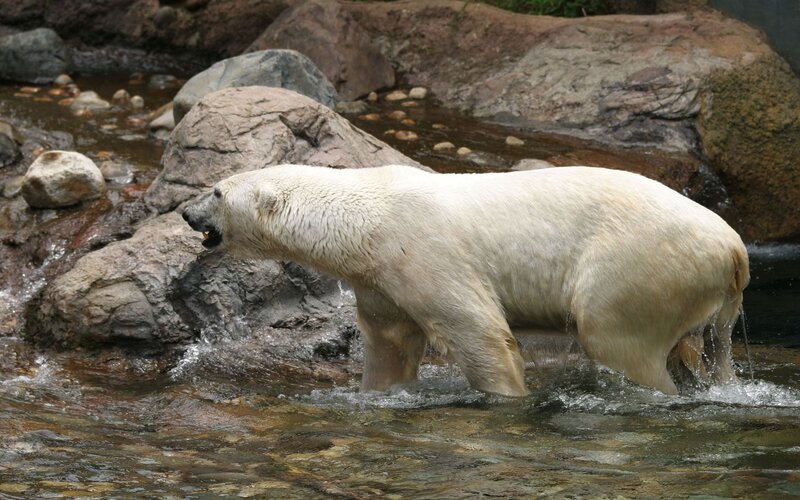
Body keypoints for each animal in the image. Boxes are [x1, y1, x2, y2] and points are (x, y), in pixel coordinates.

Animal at [182, 164, 749, 397]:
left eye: (216, 191)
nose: (186, 213)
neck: (367, 215)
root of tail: (735, 248)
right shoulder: (379, 280)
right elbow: (390, 343)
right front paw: (377, 392)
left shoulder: (424, 250)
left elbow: (478, 330)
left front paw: (507, 399)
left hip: (636, 265)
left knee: (614, 337)